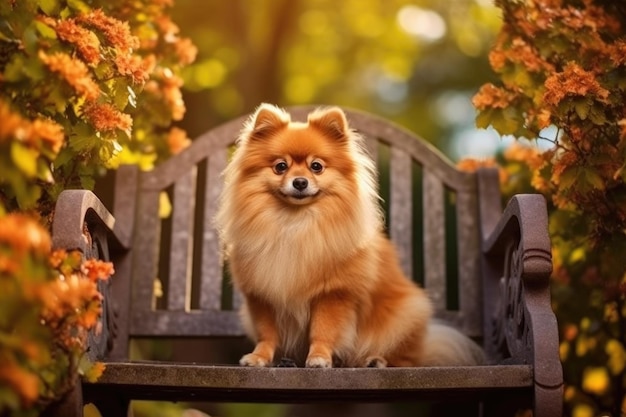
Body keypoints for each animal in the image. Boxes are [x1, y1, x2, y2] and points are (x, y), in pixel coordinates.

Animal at [214, 104, 482, 368]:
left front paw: (319, 357)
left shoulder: (333, 293)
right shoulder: (262, 294)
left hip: (406, 314)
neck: (295, 224)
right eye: (281, 166)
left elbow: (322, 330)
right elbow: (267, 333)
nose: (300, 182)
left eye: (316, 166)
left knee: (407, 359)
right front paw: (259, 357)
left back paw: (377, 360)